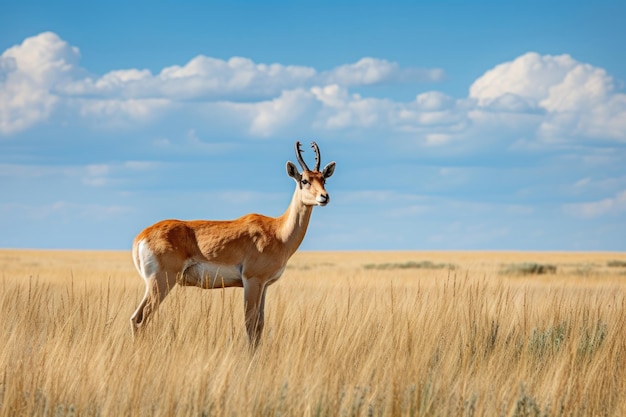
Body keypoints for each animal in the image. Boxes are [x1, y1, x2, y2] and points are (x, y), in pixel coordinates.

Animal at [129, 140, 334, 344]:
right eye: (304, 180)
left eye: (323, 178)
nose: (324, 197)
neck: (277, 232)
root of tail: (141, 236)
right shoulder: (252, 281)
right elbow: (250, 325)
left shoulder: (264, 285)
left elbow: (260, 325)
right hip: (161, 282)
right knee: (140, 318)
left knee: (137, 318)